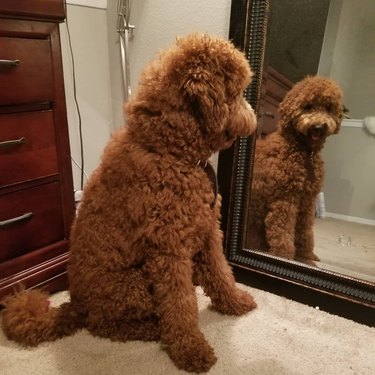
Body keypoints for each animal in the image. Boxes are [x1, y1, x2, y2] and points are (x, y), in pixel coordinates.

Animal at [0, 33, 258, 374]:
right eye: (238, 92)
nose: (254, 118)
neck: (171, 150)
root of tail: (73, 305)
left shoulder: (207, 233)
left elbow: (220, 273)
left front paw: (235, 302)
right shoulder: (169, 251)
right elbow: (180, 305)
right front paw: (191, 349)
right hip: (135, 286)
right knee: (103, 325)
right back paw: (152, 329)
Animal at [248, 75, 346, 264]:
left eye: (328, 108)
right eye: (308, 106)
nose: (318, 127)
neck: (303, 151)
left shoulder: (307, 201)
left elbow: (304, 231)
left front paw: (305, 256)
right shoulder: (285, 199)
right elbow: (283, 230)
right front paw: (284, 255)